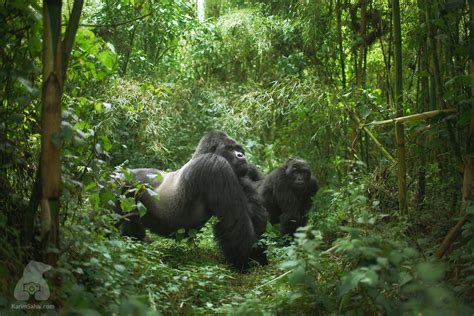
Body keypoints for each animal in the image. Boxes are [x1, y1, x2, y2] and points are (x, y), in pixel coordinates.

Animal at [116, 132, 268, 270]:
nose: (241, 156)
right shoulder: (216, 165)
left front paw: (258, 257)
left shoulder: (242, 172)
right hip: (118, 185)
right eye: (230, 148)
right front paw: (244, 262)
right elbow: (234, 222)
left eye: (239, 149)